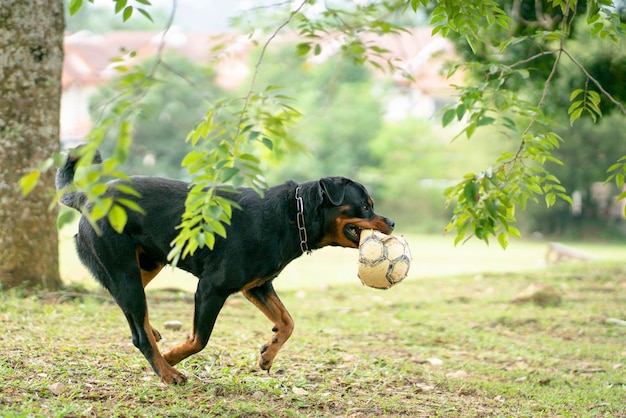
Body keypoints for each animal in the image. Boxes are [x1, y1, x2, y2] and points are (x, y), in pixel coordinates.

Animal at [56, 151, 392, 386]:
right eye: (365, 206)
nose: (391, 221)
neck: (292, 215)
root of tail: (85, 198)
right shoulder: (211, 288)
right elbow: (198, 339)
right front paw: (172, 358)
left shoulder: (257, 286)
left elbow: (287, 321)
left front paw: (268, 353)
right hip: (125, 269)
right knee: (137, 329)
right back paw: (166, 371)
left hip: (147, 264)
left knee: (125, 306)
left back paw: (154, 335)